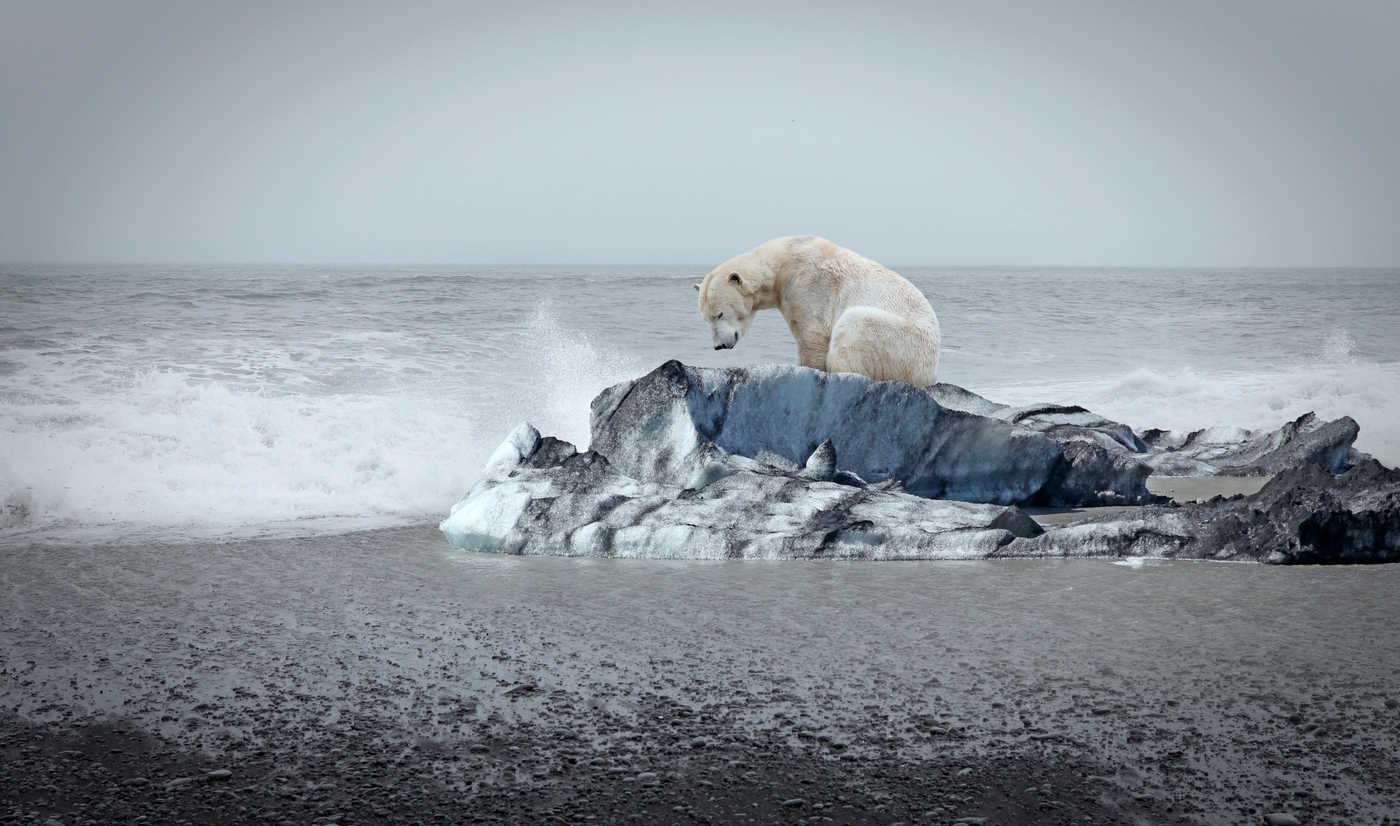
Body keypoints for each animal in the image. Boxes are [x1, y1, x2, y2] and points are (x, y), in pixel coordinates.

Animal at [695, 236, 941, 386]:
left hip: (904, 343)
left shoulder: (808, 287)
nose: (719, 346)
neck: (784, 262)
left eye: (719, 314)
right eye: (705, 319)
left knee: (854, 325)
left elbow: (811, 338)